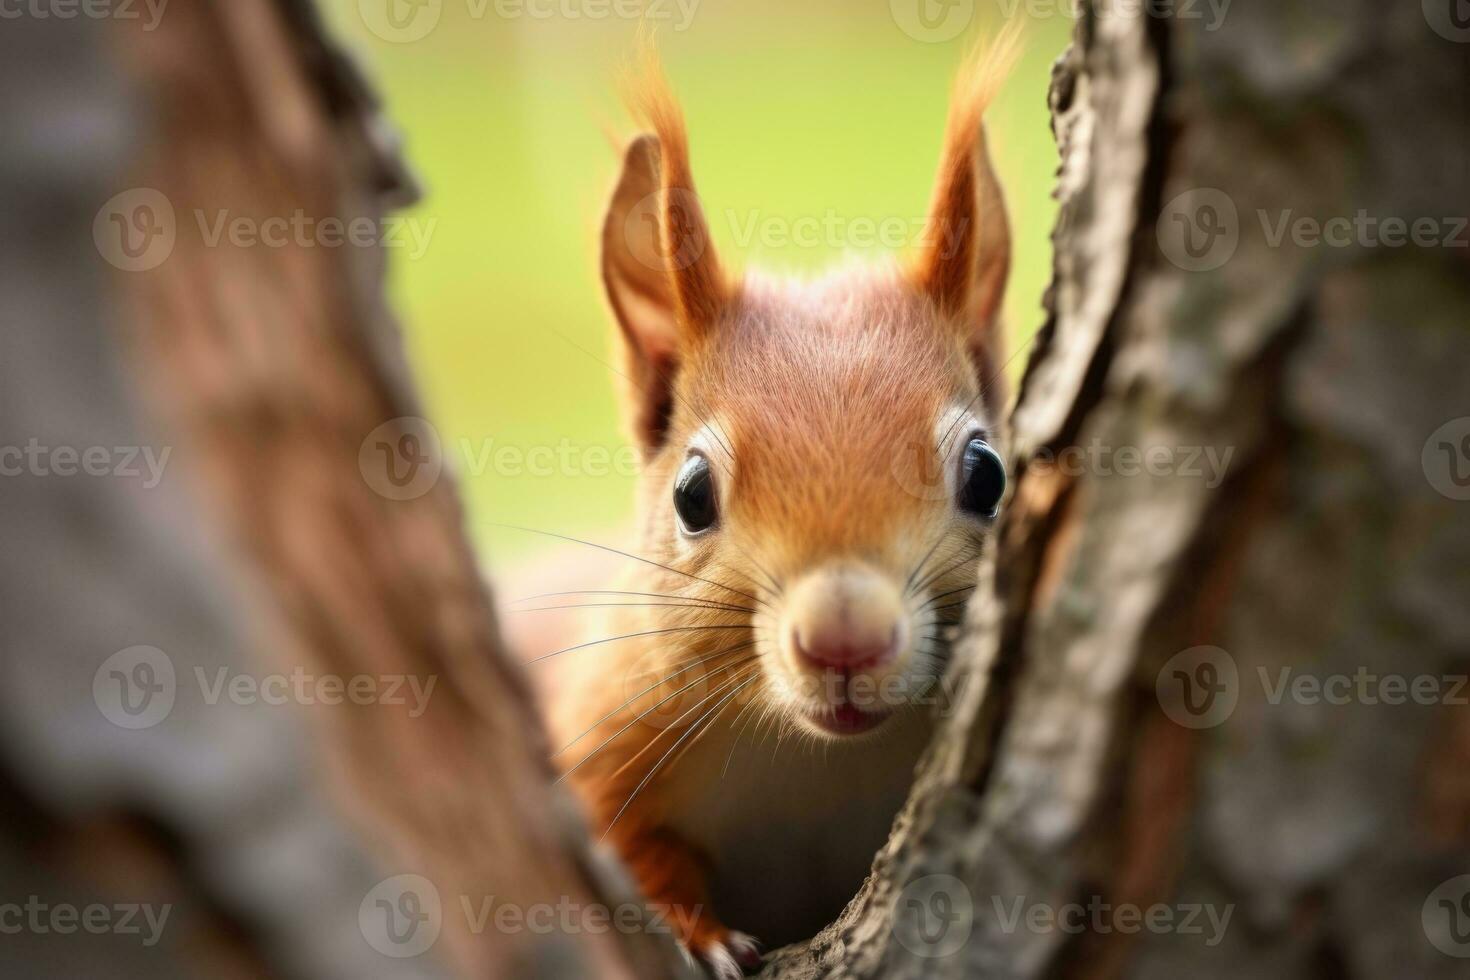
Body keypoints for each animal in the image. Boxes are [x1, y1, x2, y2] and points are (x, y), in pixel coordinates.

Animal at [532, 34, 1023, 975]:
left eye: (988, 475)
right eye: (691, 494)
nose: (845, 640)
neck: (811, 765)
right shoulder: (599, 732)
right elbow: (633, 848)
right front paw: (703, 934)